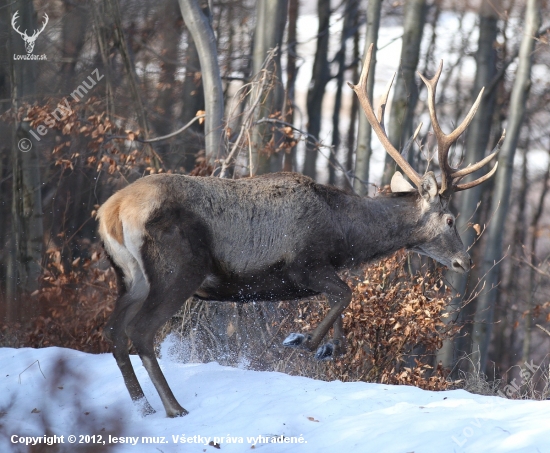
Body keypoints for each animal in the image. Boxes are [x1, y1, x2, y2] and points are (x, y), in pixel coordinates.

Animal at [99, 46, 508, 416]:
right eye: (450, 219)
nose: (464, 261)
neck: (343, 236)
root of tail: (112, 212)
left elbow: (341, 302)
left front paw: (329, 347)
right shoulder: (303, 262)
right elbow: (345, 293)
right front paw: (304, 340)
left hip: (130, 277)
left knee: (114, 333)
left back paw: (143, 408)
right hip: (179, 268)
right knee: (140, 332)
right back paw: (173, 408)